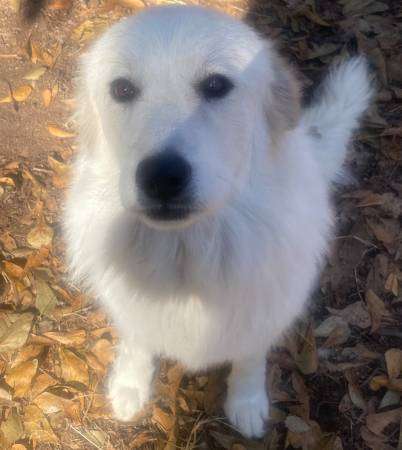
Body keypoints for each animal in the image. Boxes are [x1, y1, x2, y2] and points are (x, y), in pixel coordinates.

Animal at [63, 5, 374, 438]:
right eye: (122, 89)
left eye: (216, 85)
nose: (162, 177)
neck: (189, 251)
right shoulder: (132, 311)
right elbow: (137, 343)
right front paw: (129, 386)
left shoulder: (262, 314)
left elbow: (249, 360)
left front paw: (246, 402)